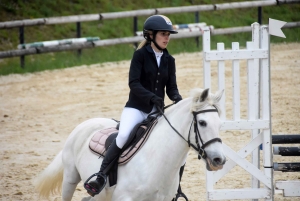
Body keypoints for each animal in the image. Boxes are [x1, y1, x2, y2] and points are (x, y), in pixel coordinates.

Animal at [34, 88, 225, 201]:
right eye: (202, 123)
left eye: (220, 124)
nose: (219, 160)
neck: (156, 161)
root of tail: (83, 125)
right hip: (70, 179)